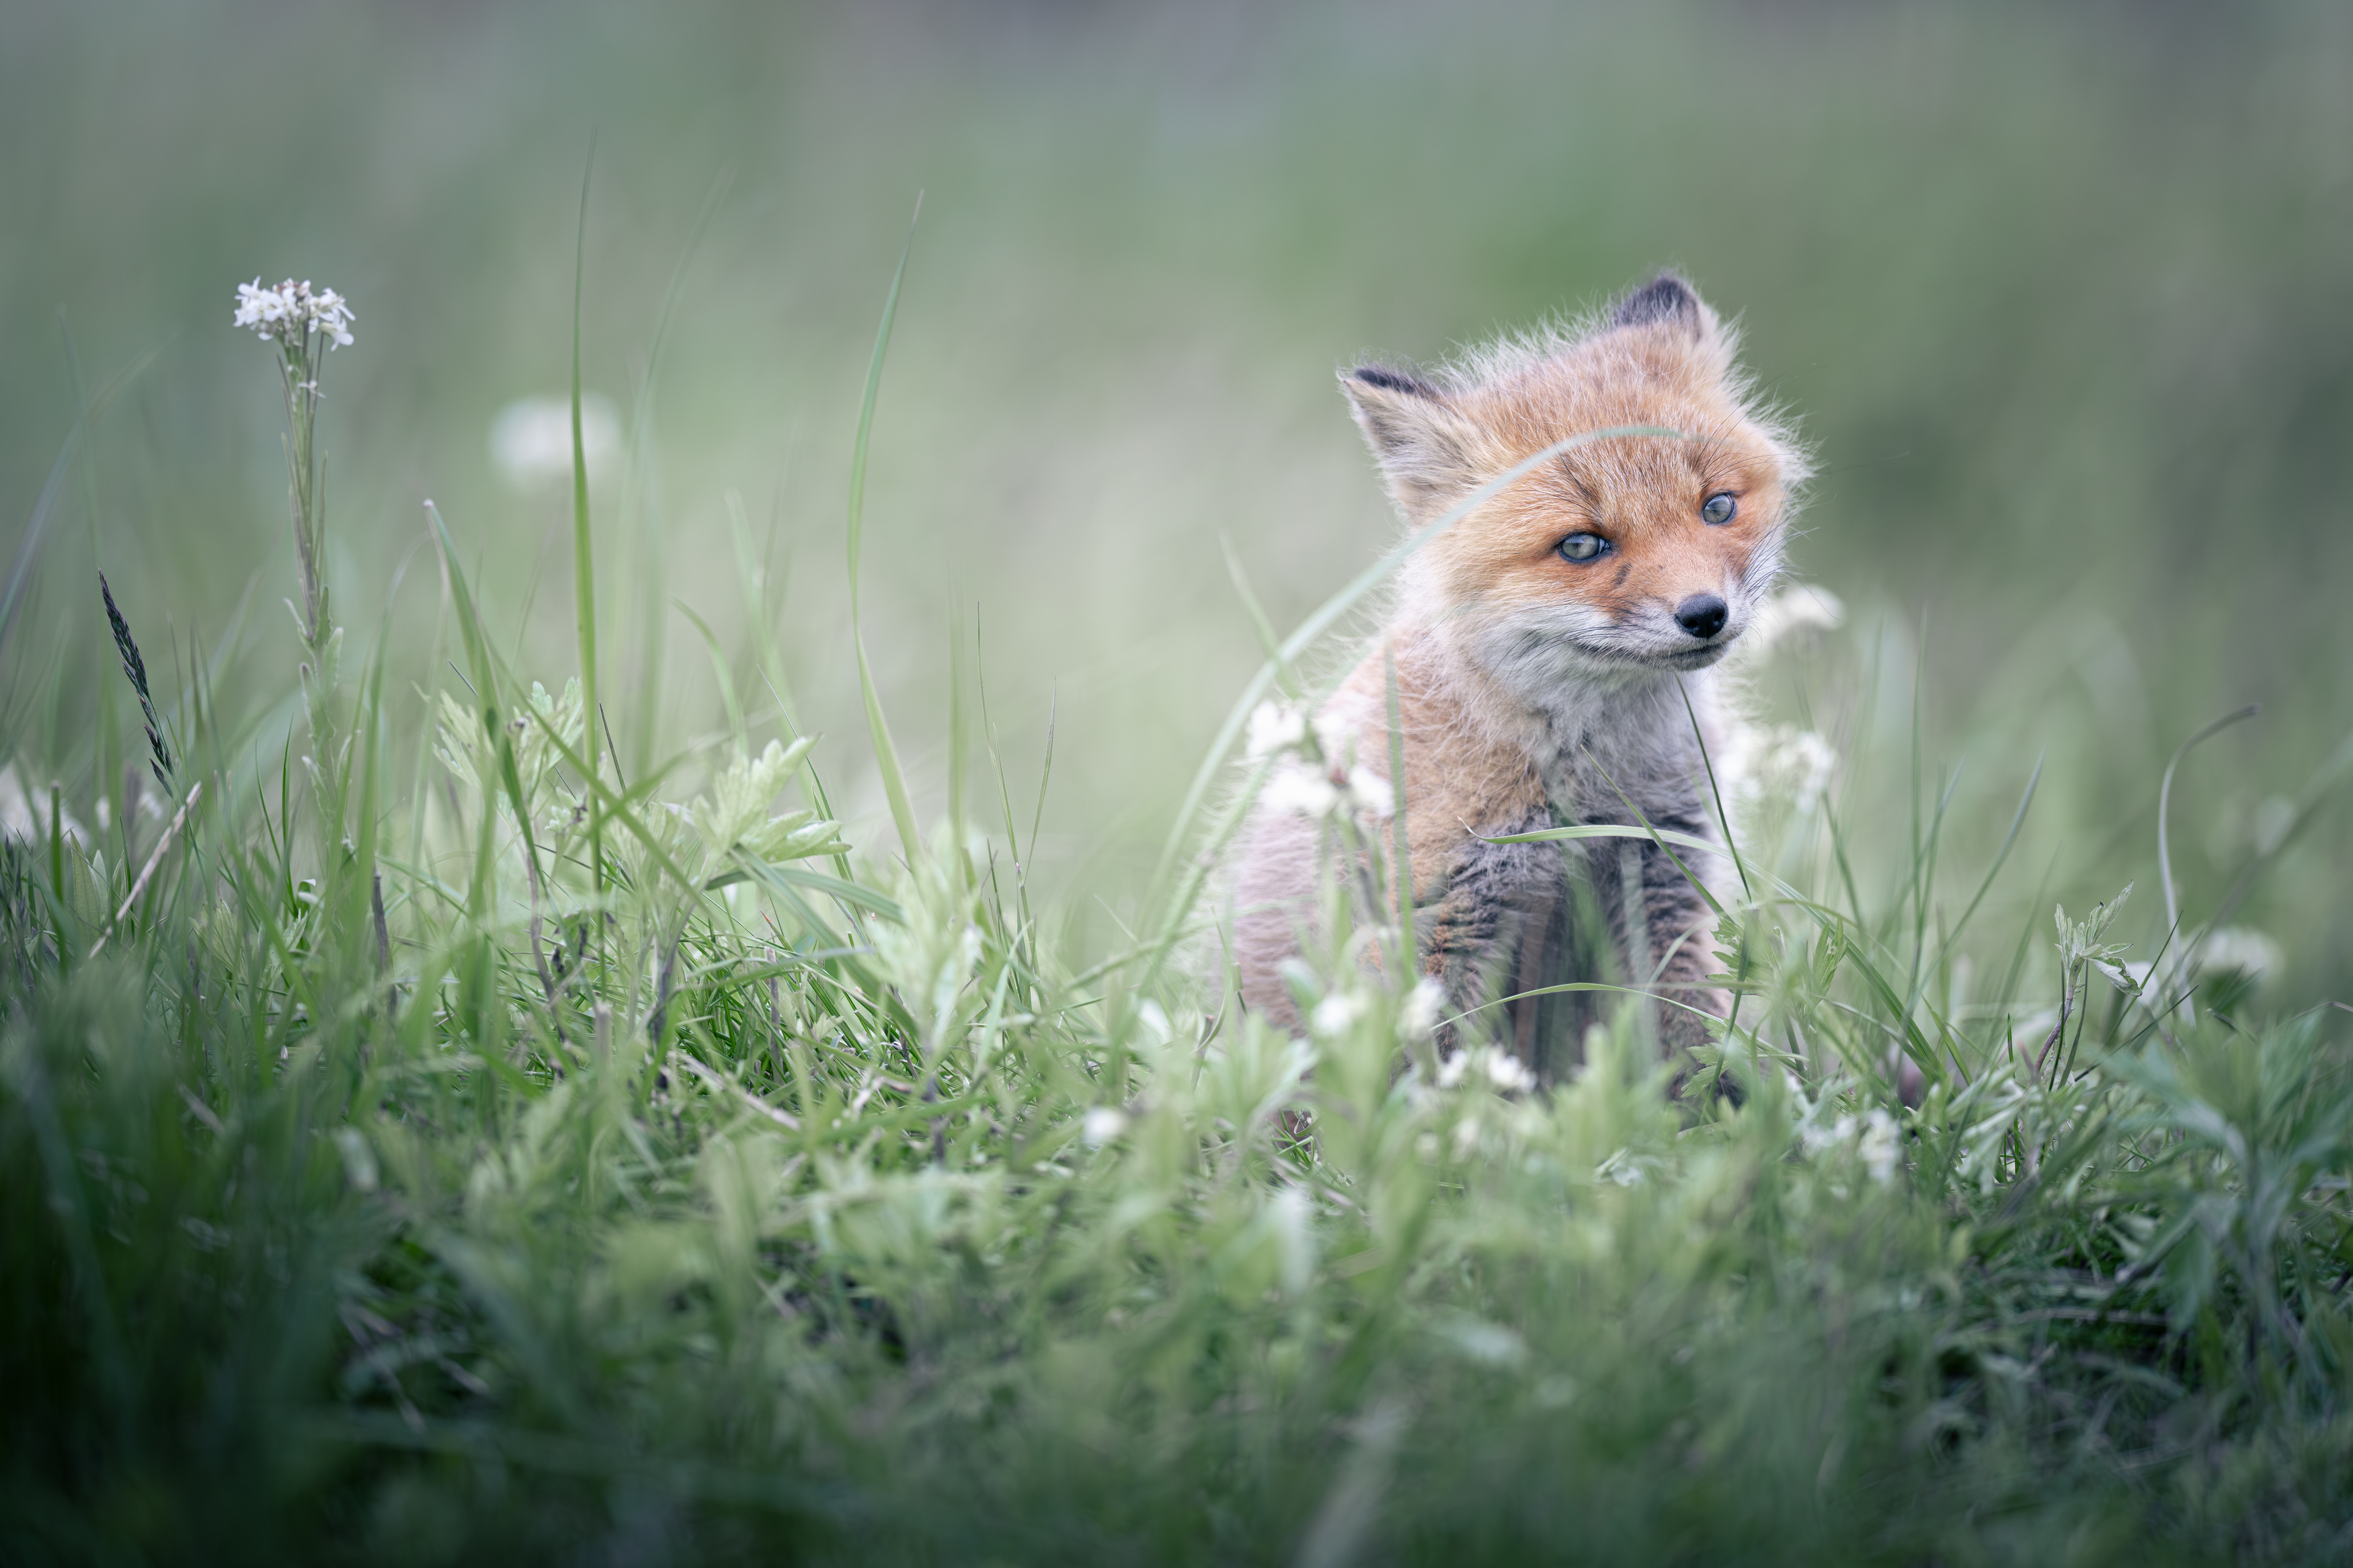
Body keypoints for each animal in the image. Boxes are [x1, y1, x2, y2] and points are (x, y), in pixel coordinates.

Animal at [1233, 272, 1798, 1090]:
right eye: (1582, 545)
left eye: (1717, 506)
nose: (1704, 614)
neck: (1586, 777)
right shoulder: (1443, 912)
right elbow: (1436, 1079)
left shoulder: (1660, 873)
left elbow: (1689, 1035)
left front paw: (1723, 1114)